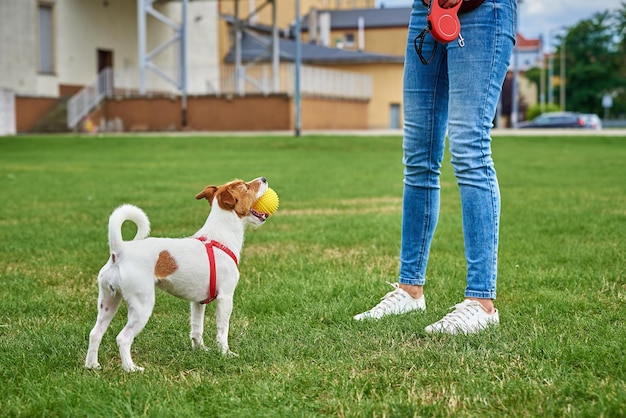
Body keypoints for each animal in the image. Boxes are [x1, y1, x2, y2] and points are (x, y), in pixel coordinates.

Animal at [84, 176, 270, 372]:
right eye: (246, 187)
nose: (264, 178)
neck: (218, 237)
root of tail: (119, 252)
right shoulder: (225, 298)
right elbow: (222, 330)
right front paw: (225, 354)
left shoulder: (198, 301)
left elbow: (197, 328)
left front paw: (201, 350)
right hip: (142, 305)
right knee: (123, 338)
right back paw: (131, 368)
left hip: (108, 301)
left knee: (95, 333)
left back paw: (92, 365)